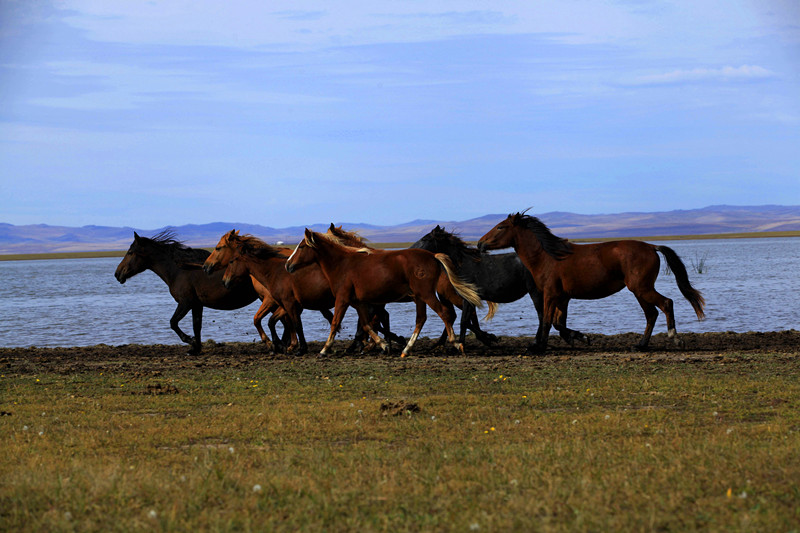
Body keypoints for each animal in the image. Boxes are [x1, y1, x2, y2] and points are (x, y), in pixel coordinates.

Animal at [114, 231, 258, 354]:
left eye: (130, 252)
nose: (117, 274)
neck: (179, 271)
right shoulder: (197, 305)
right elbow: (196, 325)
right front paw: (196, 349)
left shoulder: (185, 303)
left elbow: (173, 323)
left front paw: (191, 341)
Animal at [286, 229, 484, 356]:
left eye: (301, 247)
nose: (288, 265)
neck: (342, 264)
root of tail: (433, 256)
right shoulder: (358, 302)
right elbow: (366, 325)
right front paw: (382, 345)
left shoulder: (342, 299)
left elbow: (336, 323)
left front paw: (324, 350)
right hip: (420, 297)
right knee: (422, 319)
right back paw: (406, 350)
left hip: (427, 294)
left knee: (445, 313)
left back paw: (456, 343)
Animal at [411, 225, 587, 347]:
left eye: (425, 238)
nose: (411, 250)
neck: (465, 264)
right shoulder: (468, 300)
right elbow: (466, 321)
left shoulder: (468, 299)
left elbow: (464, 321)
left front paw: (472, 342)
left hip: (535, 292)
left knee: (542, 315)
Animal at [478, 212, 705, 352]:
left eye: (500, 227)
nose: (480, 243)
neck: (548, 257)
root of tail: (651, 246)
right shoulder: (563, 297)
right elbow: (559, 323)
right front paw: (580, 337)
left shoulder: (550, 294)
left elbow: (547, 321)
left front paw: (538, 348)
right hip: (639, 291)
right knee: (652, 314)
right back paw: (640, 345)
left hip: (642, 288)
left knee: (666, 304)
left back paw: (675, 338)